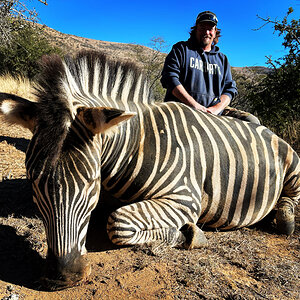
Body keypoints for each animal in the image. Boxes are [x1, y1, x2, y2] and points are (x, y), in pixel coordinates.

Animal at [0, 50, 298, 290]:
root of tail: (264, 127)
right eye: (34, 182)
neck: (136, 144)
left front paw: (189, 234)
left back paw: (285, 219)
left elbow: (117, 222)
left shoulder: (185, 199)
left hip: (292, 163)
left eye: (90, 182)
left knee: (290, 199)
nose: (62, 278)